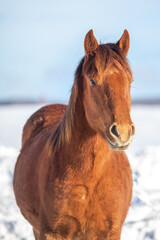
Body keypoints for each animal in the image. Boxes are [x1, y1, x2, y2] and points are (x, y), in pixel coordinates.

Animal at [13, 30, 135, 240]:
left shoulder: (111, 232)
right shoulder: (51, 232)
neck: (90, 176)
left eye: (130, 81)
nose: (123, 132)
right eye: (93, 81)